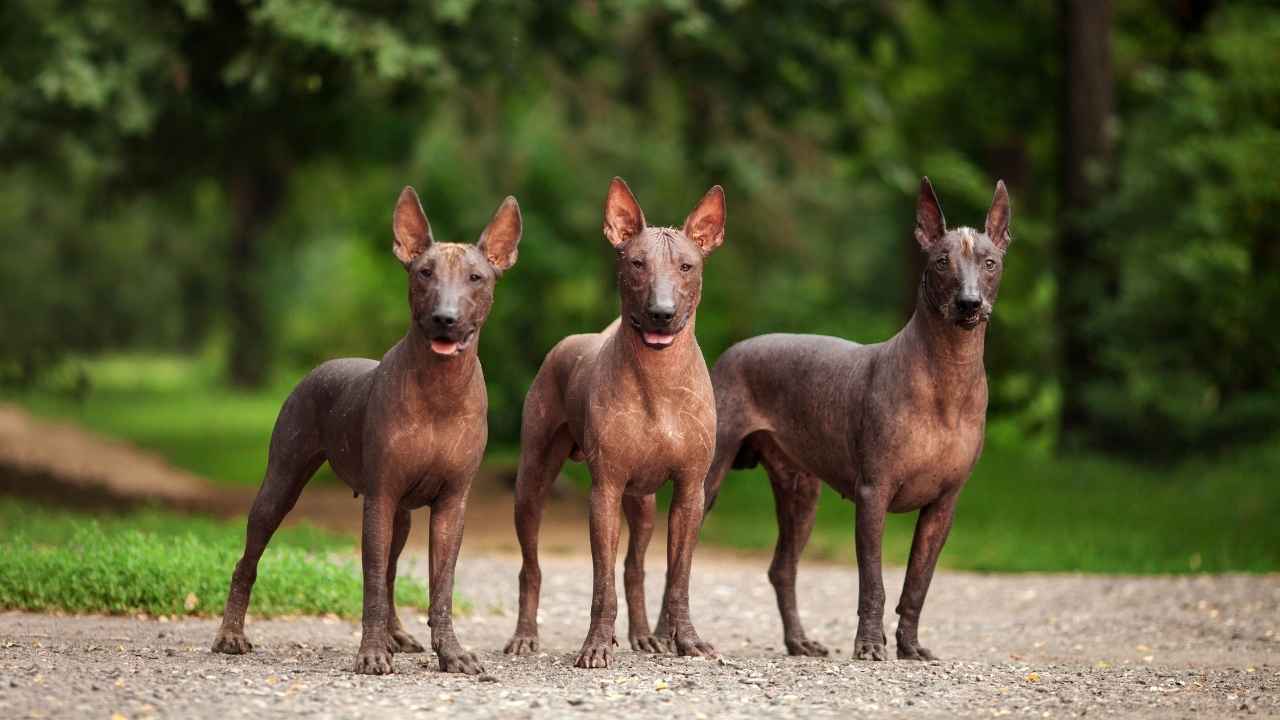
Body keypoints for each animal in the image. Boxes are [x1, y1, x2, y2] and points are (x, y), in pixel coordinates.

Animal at [209, 183, 519, 671]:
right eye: (424, 273)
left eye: (476, 278)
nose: (445, 317)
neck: (440, 390)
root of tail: (323, 365)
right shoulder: (381, 497)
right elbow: (371, 579)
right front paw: (371, 652)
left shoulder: (452, 505)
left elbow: (440, 587)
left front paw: (450, 653)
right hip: (281, 485)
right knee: (249, 560)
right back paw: (231, 634)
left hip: (402, 516)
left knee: (392, 572)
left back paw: (397, 635)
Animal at [506, 175, 732, 666]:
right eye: (636, 263)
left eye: (687, 266)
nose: (662, 312)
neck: (658, 379)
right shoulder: (604, 492)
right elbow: (600, 584)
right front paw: (595, 644)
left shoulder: (690, 492)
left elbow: (677, 578)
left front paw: (686, 640)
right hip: (532, 483)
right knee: (530, 567)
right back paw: (525, 636)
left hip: (643, 504)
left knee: (635, 567)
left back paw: (645, 636)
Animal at [701, 176, 1008, 661]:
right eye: (942, 262)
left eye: (990, 263)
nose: (969, 303)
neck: (947, 376)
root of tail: (731, 352)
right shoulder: (872, 495)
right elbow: (874, 583)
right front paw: (868, 644)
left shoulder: (944, 506)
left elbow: (918, 584)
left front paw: (910, 646)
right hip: (708, 481)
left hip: (801, 495)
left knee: (781, 569)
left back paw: (799, 641)